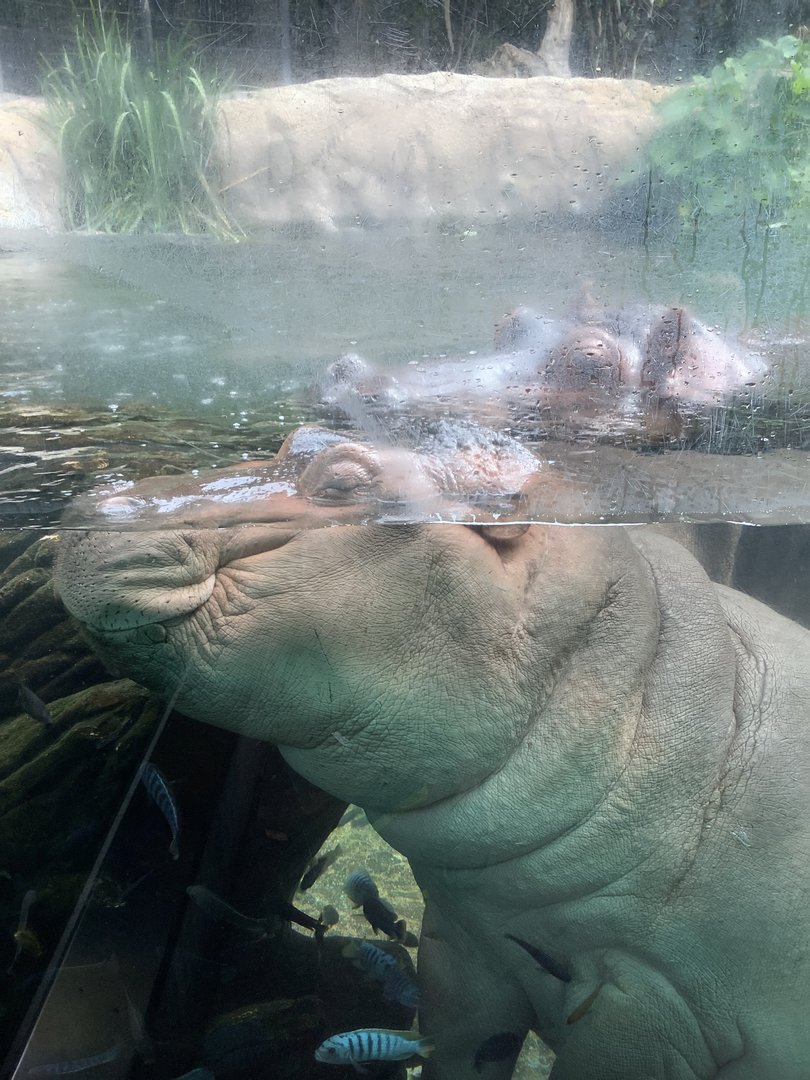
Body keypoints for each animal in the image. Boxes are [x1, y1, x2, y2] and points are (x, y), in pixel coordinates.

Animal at [54, 423, 810, 1080]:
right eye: (295, 438)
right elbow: (456, 1043)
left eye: (343, 481)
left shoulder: (650, 1006)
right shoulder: (462, 941)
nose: (95, 500)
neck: (643, 675)